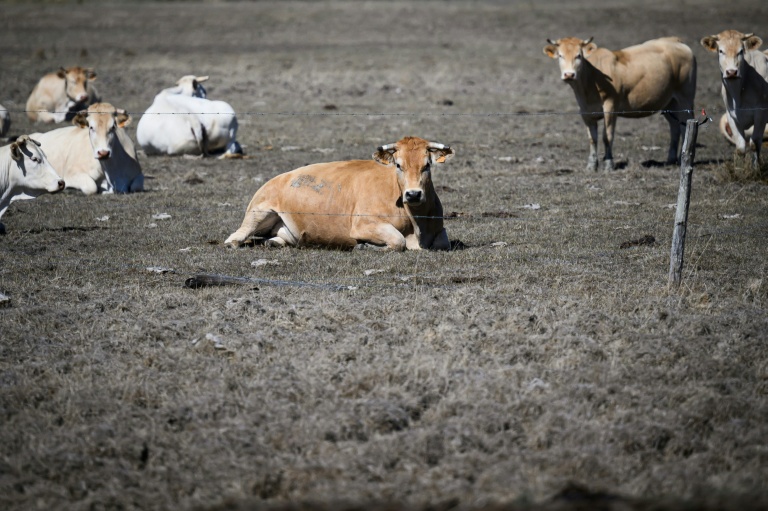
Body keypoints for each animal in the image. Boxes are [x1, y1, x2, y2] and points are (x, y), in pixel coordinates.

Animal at [225, 136, 454, 251]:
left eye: (427, 165)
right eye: (398, 165)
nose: (413, 194)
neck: (416, 224)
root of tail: (275, 179)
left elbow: (443, 242)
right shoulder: (363, 225)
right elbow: (398, 241)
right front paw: (364, 246)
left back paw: (272, 243)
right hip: (258, 213)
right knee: (234, 238)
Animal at [543, 37, 697, 171]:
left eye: (579, 56)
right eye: (560, 56)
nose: (569, 74)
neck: (591, 80)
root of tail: (675, 40)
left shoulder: (611, 106)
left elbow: (607, 136)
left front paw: (608, 164)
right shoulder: (585, 111)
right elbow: (592, 139)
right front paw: (591, 166)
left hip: (685, 99)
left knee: (685, 126)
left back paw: (684, 159)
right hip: (669, 103)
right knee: (674, 127)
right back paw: (670, 160)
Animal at [701, 31, 768, 167]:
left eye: (741, 51)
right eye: (721, 51)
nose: (731, 72)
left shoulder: (761, 114)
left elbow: (755, 143)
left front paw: (755, 169)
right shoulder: (731, 116)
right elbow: (741, 147)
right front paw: (739, 169)